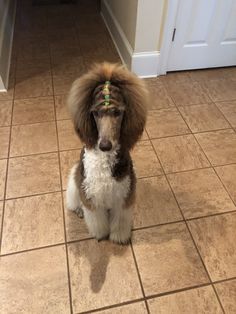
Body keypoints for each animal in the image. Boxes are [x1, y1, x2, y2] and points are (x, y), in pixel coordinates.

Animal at [66, 62, 148, 244]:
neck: (105, 159)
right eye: (96, 113)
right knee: (74, 202)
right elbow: (96, 220)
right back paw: (79, 210)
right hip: (75, 182)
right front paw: (101, 234)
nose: (104, 145)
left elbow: (120, 220)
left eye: (117, 112)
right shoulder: (91, 195)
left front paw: (119, 237)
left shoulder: (124, 195)